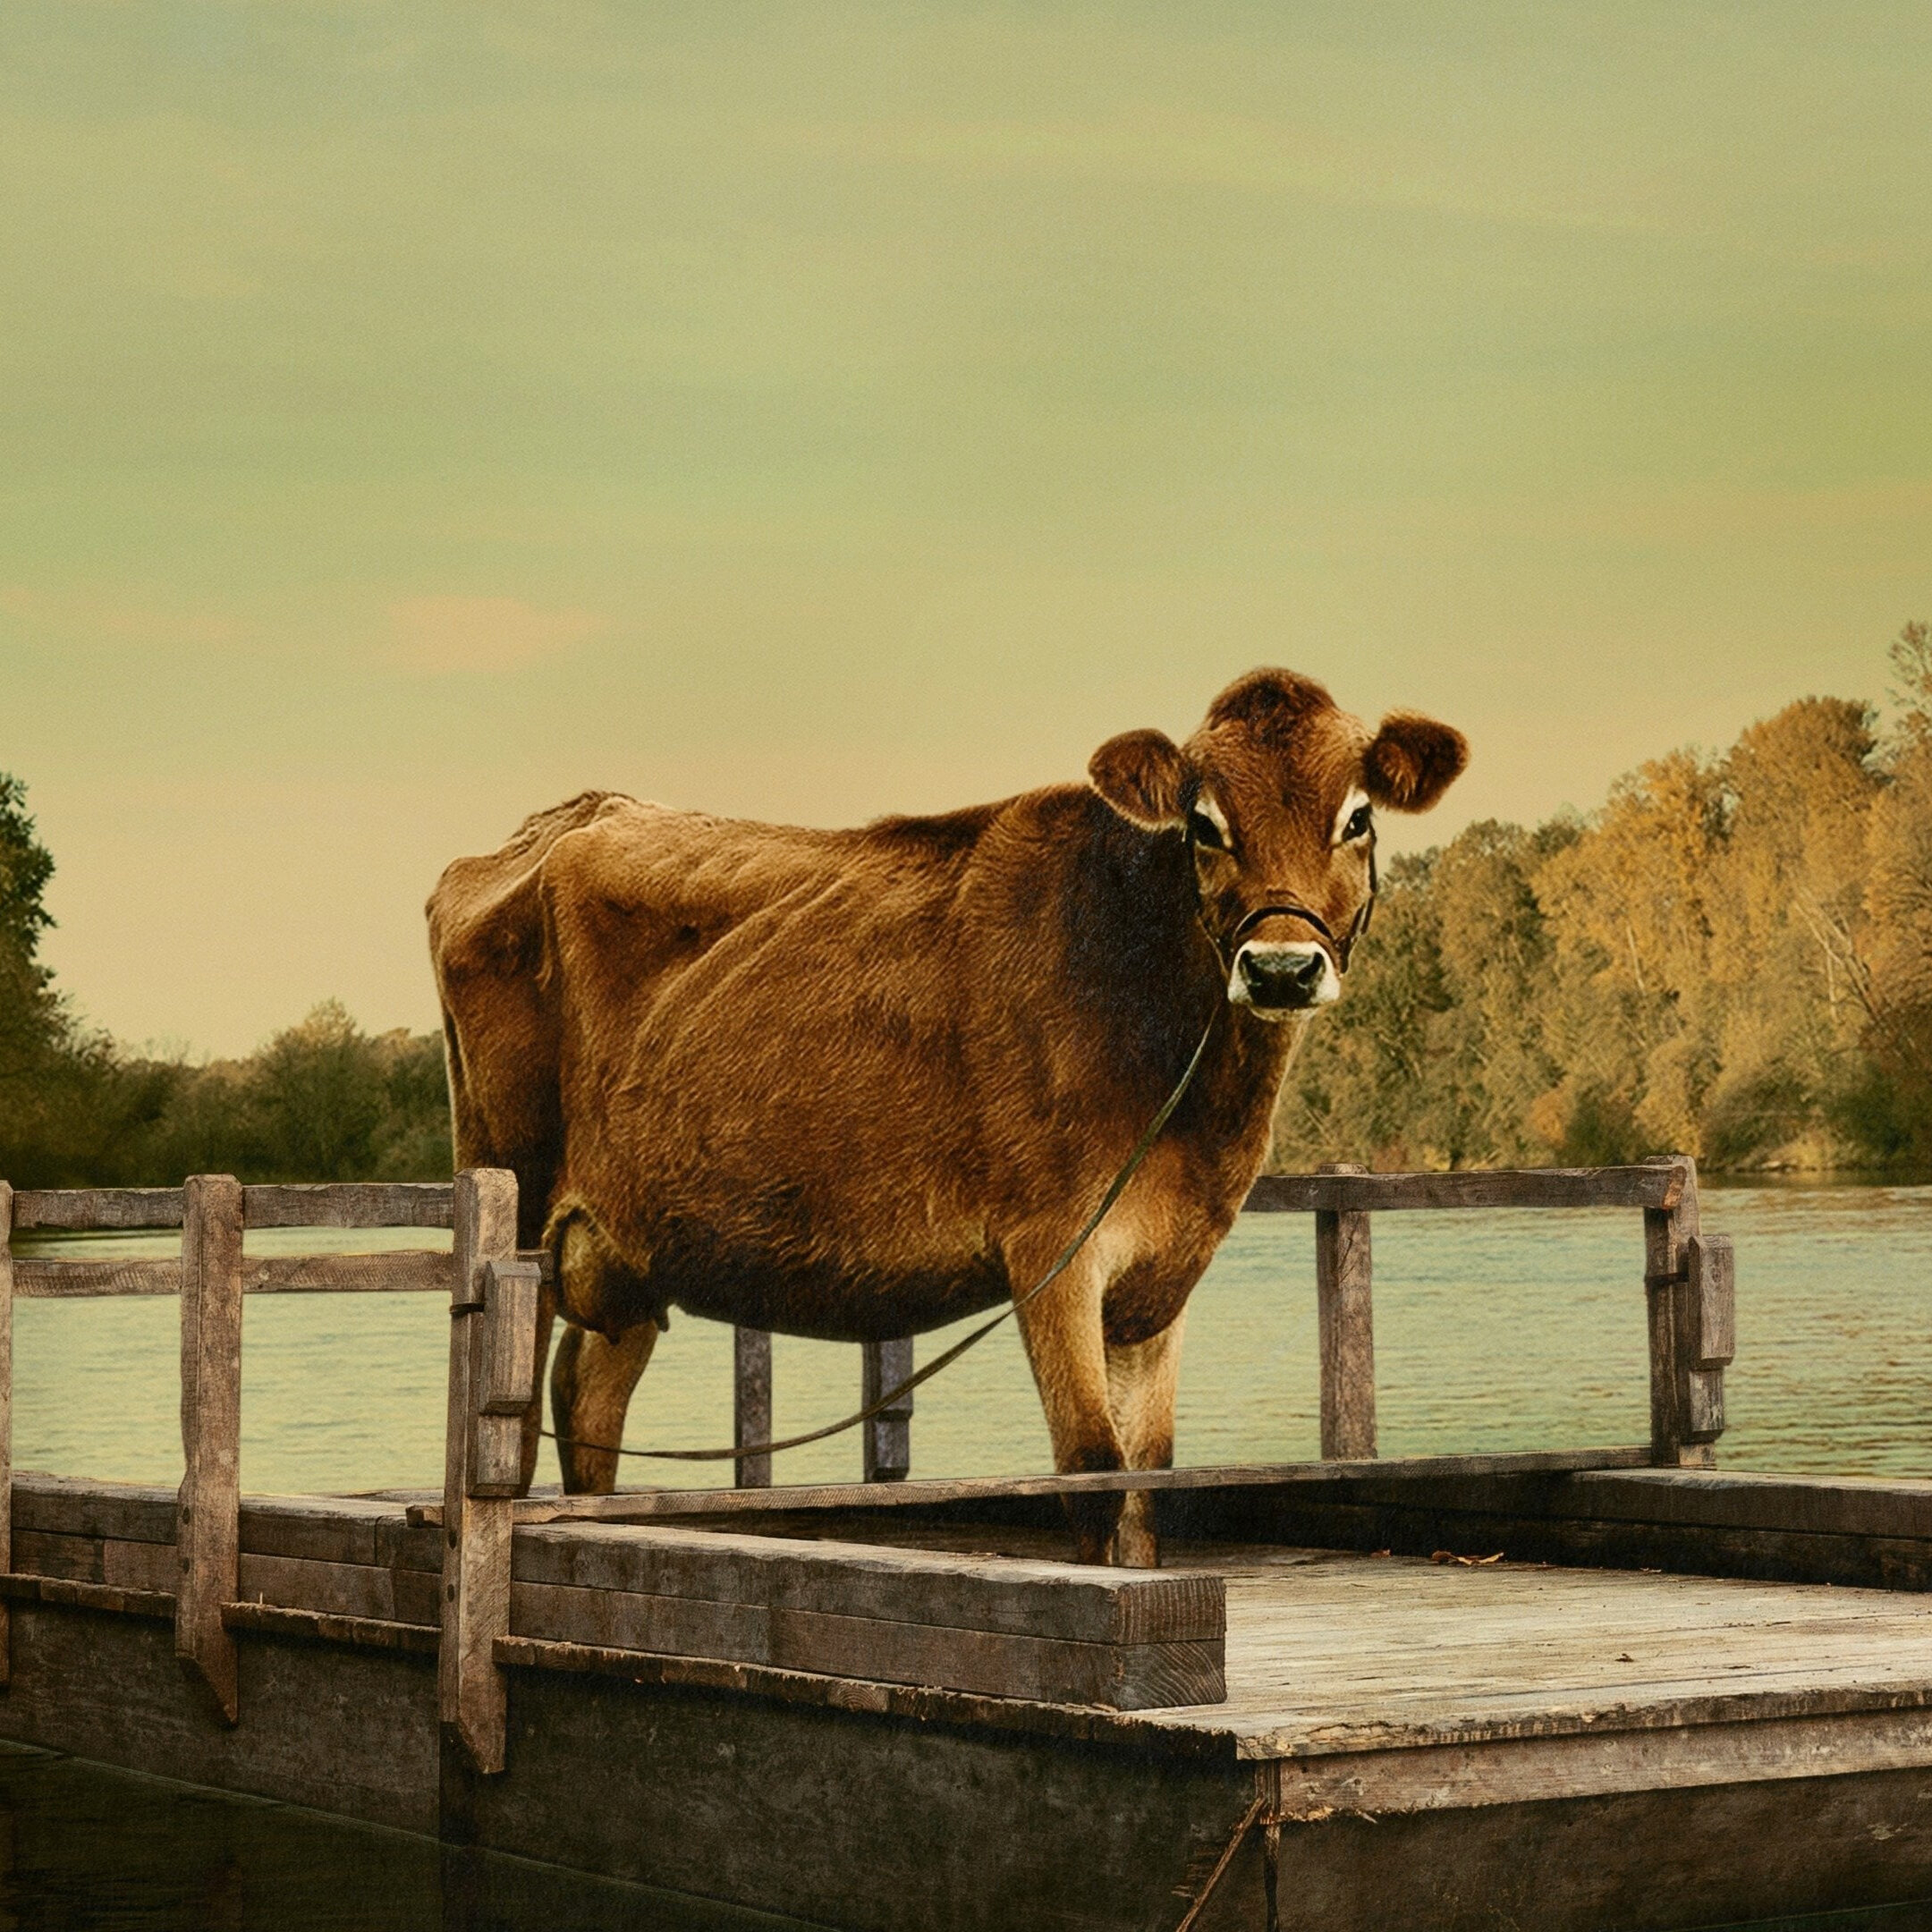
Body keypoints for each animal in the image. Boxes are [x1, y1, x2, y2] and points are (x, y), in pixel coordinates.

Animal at [428, 668, 1466, 1565]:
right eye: (1204, 823)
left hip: (631, 1244)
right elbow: (1091, 1474)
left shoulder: (1160, 1276)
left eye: (1357, 817)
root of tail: (565, 819)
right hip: (518, 1200)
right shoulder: (1054, 1248)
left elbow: (1148, 1485)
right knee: (514, 1421)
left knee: (589, 1397)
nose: (1281, 969)